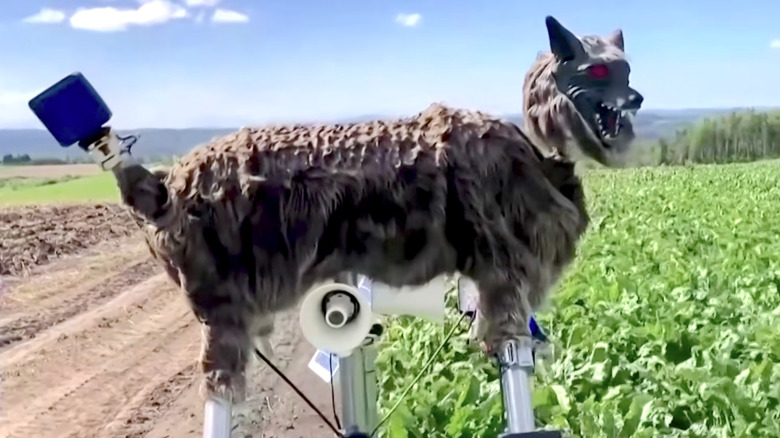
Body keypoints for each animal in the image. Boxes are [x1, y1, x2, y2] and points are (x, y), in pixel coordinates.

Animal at [109, 16, 643, 404]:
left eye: (628, 68)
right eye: (597, 70)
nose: (637, 97)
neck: (539, 156)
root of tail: (161, 186)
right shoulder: (503, 265)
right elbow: (507, 333)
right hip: (219, 296)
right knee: (218, 377)